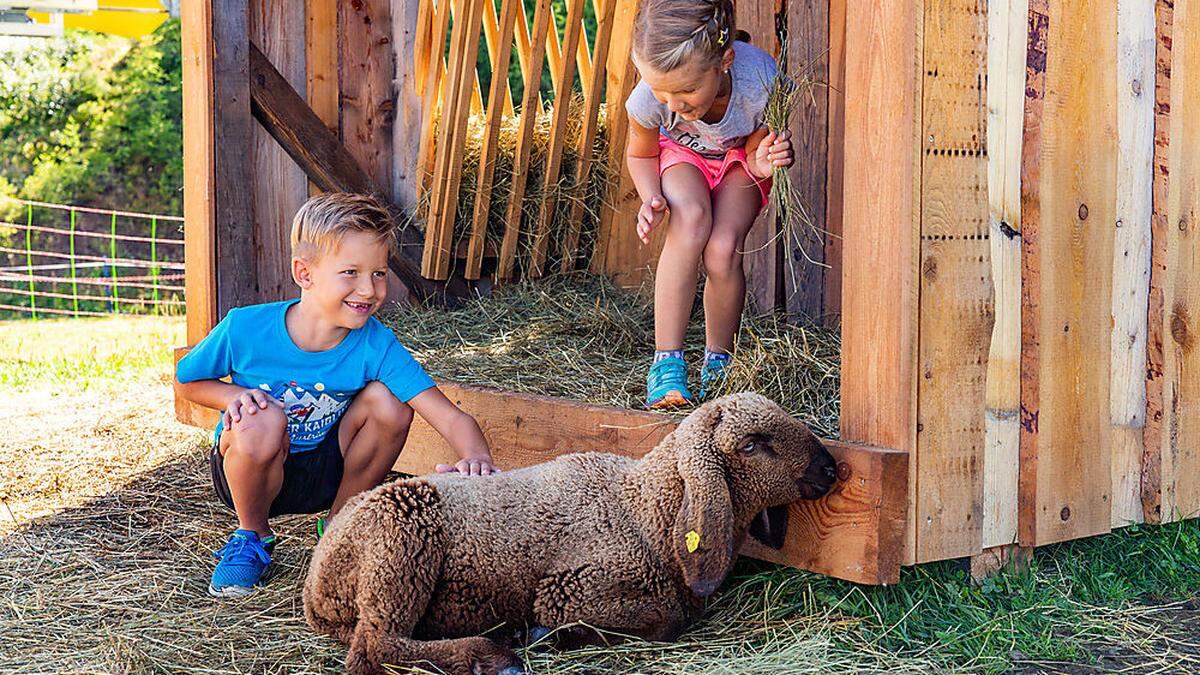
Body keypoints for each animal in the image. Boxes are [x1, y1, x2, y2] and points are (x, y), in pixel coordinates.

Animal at [304, 391, 840, 667]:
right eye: (752, 445)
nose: (831, 468)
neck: (643, 509)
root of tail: (317, 586)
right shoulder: (569, 588)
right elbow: (668, 620)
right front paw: (550, 634)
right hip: (400, 538)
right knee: (374, 647)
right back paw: (491, 655)